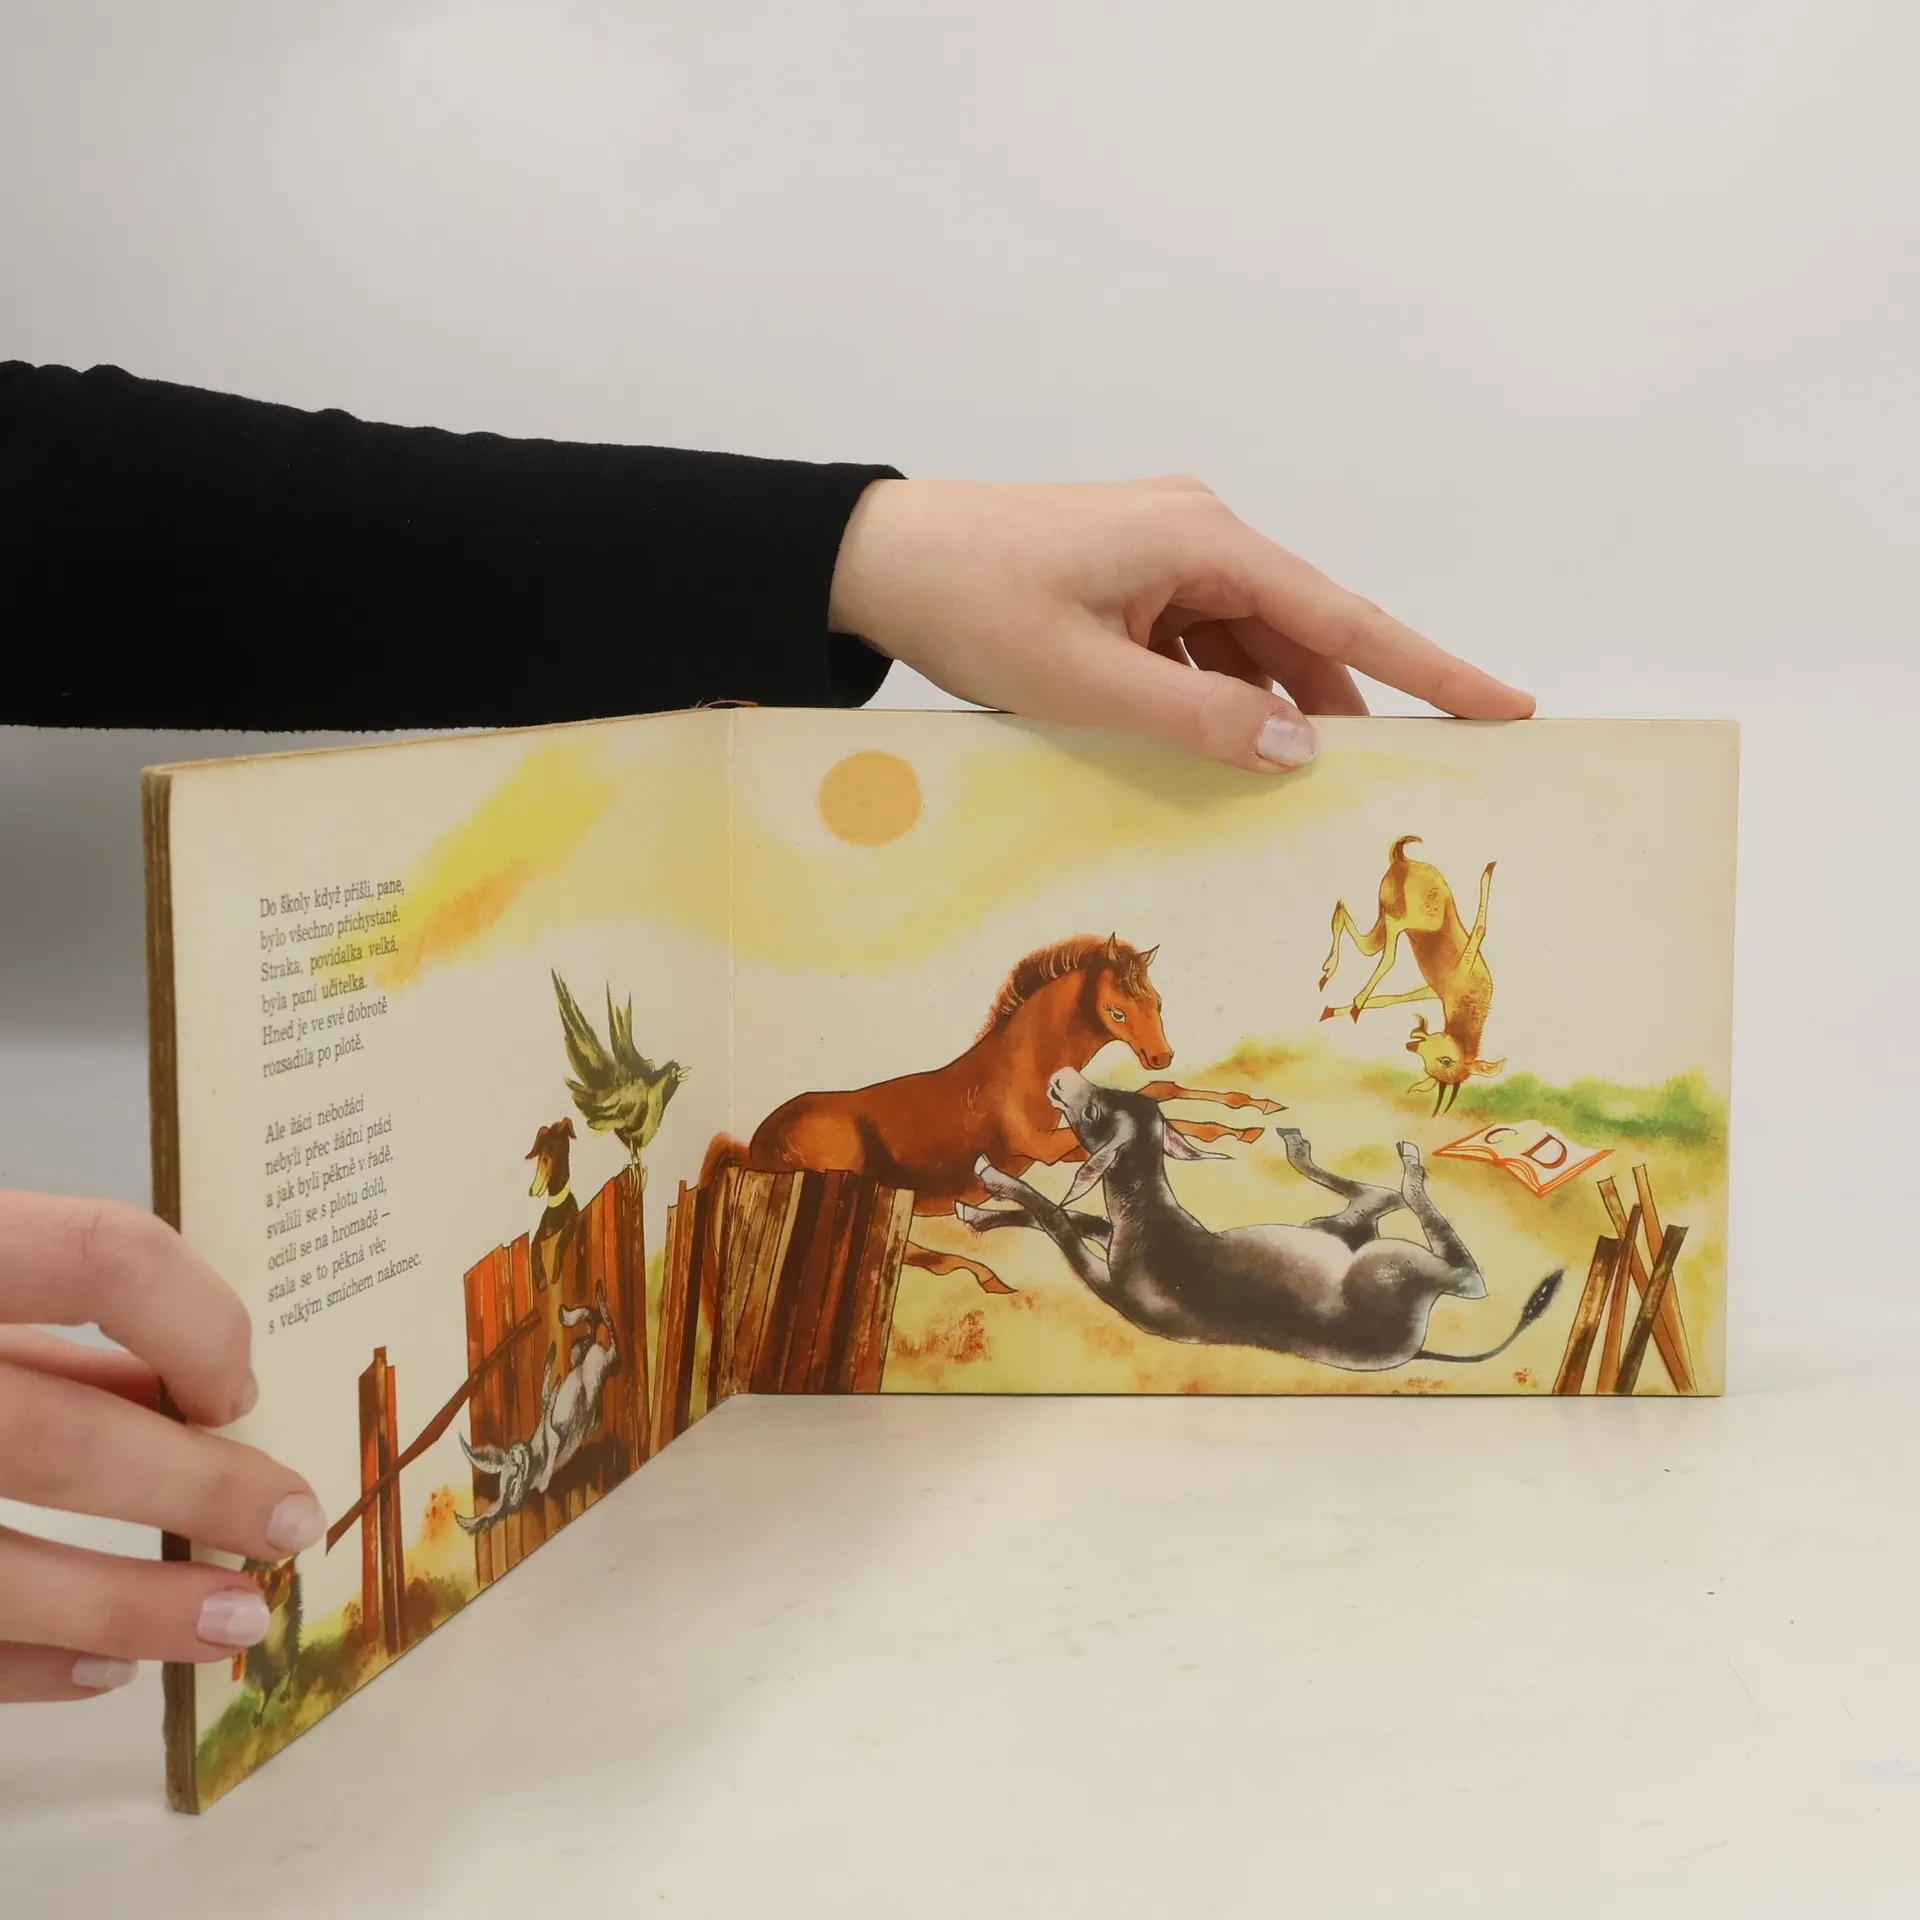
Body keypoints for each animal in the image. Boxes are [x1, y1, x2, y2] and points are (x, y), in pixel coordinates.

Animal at [708, 935, 1277, 1292]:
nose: (1160, 1053)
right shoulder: (1045, 1148)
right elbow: (1156, 1114)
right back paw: (982, 1275)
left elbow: (1160, 1093)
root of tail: (757, 1143)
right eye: (1117, 1010)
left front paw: (1254, 1113)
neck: (1020, 1067)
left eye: (1156, 1001)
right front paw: (1234, 1132)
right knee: (896, 1250)